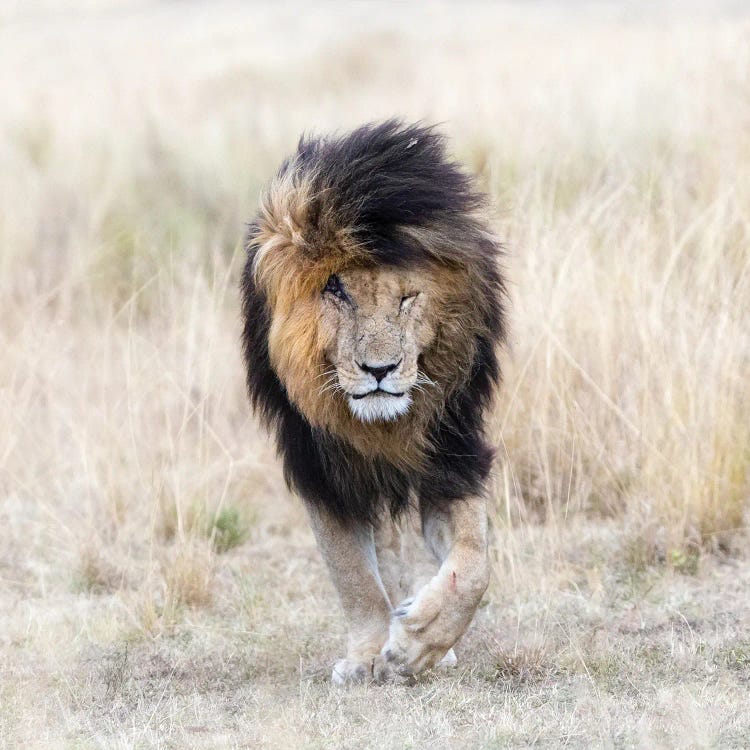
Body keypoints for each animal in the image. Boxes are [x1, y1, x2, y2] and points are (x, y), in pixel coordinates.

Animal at [244, 119, 508, 688]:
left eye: (408, 297)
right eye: (336, 291)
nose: (380, 370)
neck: (379, 426)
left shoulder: (450, 455)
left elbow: (474, 565)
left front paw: (420, 643)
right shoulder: (320, 469)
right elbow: (353, 575)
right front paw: (368, 655)